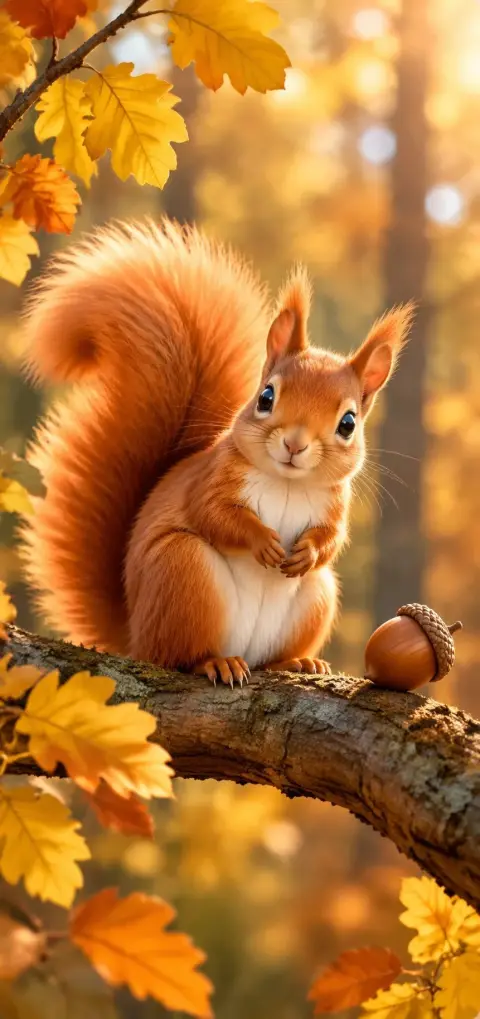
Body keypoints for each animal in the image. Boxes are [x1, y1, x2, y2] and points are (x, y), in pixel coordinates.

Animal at [21, 218, 413, 686]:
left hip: (317, 595)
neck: (285, 482)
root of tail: (136, 634)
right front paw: (262, 541)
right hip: (183, 571)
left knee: (270, 653)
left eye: (348, 424)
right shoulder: (210, 480)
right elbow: (216, 515)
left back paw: (297, 662)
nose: (295, 444)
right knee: (177, 655)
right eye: (265, 397)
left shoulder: (335, 506)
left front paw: (306, 552)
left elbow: (331, 540)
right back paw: (214, 662)